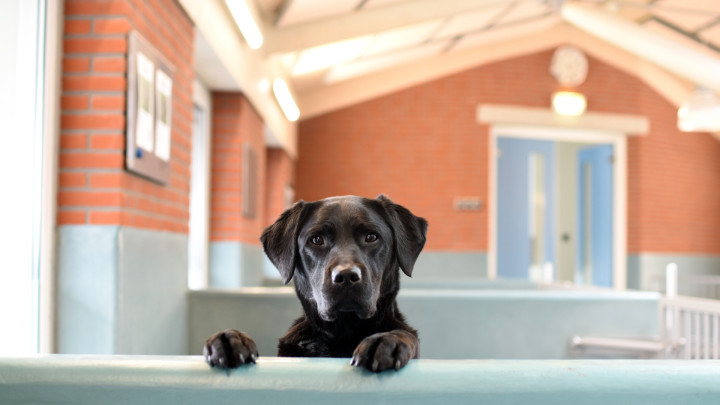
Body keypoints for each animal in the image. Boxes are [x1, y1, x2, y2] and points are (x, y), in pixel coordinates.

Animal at [202, 194, 428, 370]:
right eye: (317, 240)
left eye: (371, 237)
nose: (346, 276)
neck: (345, 330)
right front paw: (230, 339)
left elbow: (401, 334)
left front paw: (386, 340)